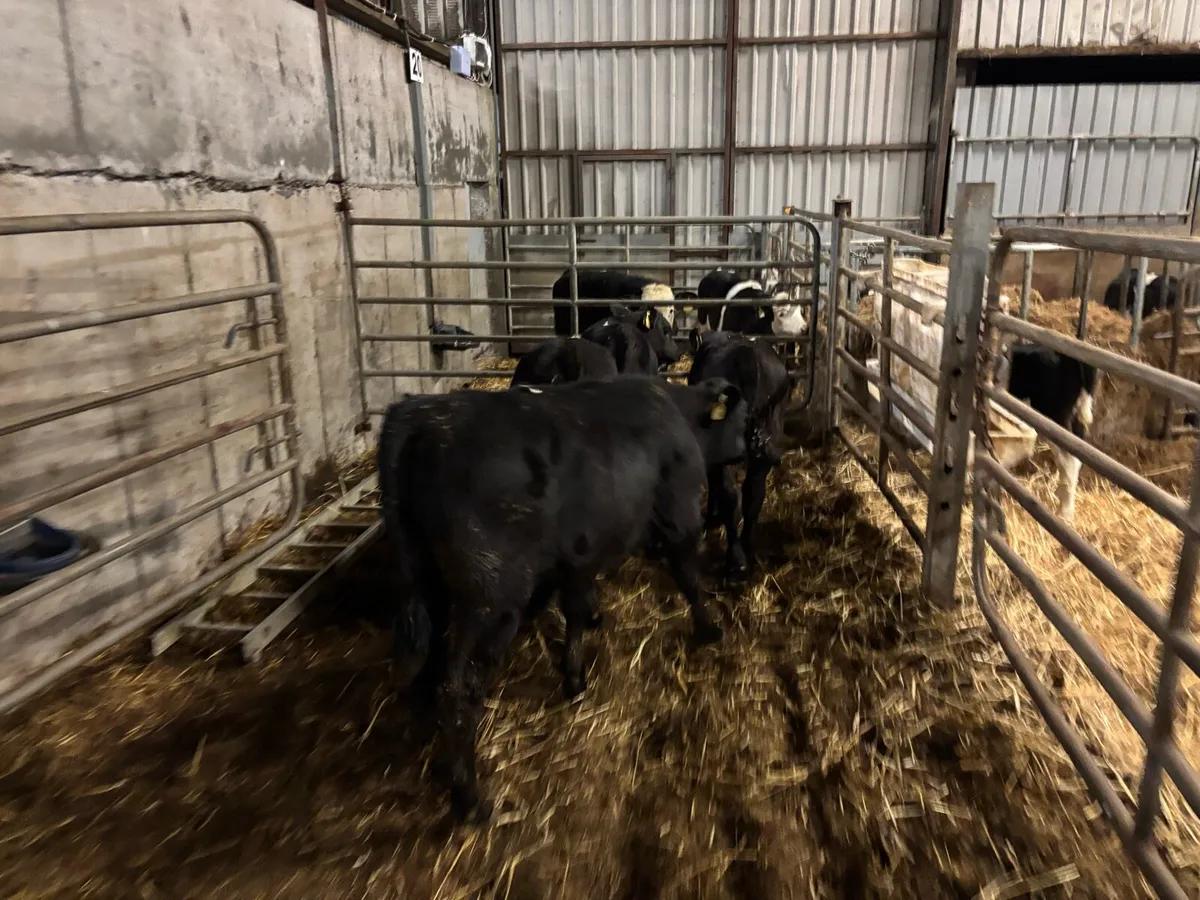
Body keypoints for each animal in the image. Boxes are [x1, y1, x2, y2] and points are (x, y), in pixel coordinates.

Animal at [379, 377, 748, 823]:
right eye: (745, 417)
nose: (752, 449)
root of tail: (421, 414)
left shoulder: (580, 550)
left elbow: (574, 606)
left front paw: (576, 670)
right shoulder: (678, 515)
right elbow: (689, 578)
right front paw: (710, 628)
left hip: (426, 581)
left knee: (427, 674)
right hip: (491, 599)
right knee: (458, 690)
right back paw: (470, 799)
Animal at [688, 331, 797, 574]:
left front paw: (712, 517)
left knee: (731, 495)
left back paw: (735, 559)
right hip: (766, 445)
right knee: (753, 494)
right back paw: (747, 547)